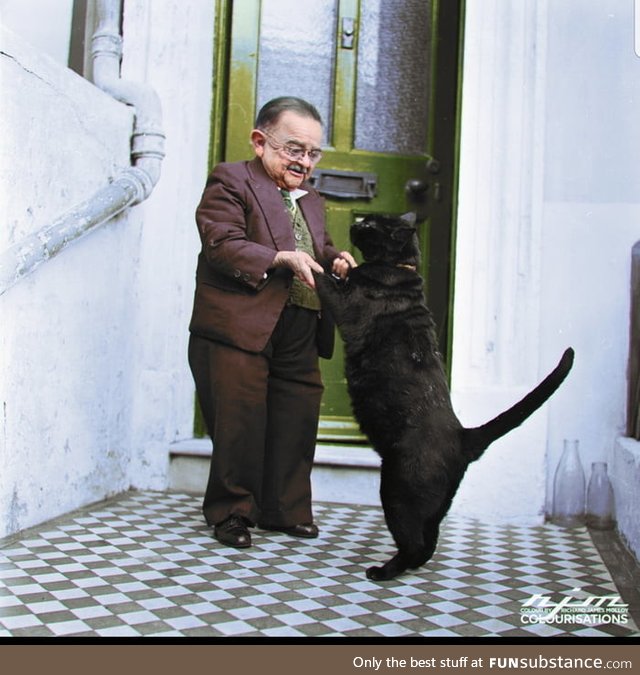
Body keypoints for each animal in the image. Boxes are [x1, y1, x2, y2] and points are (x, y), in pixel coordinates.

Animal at [316, 214, 576, 584]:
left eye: (371, 225)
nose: (356, 223)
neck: (399, 268)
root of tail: (463, 435)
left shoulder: (345, 304)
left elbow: (319, 276)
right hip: (431, 505)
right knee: (429, 542)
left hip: (396, 492)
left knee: (413, 543)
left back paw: (382, 571)